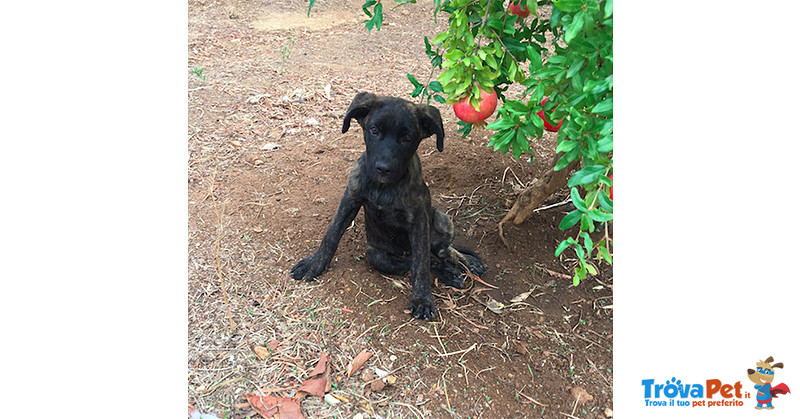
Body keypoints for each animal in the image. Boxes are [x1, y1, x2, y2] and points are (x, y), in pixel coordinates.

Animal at [290, 92, 484, 322]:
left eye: (408, 138)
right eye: (374, 131)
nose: (384, 168)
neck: (384, 187)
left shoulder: (419, 218)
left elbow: (421, 264)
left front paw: (422, 298)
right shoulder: (350, 198)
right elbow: (332, 234)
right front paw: (315, 263)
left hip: (442, 220)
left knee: (439, 252)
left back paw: (467, 263)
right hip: (378, 257)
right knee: (427, 260)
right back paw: (450, 272)